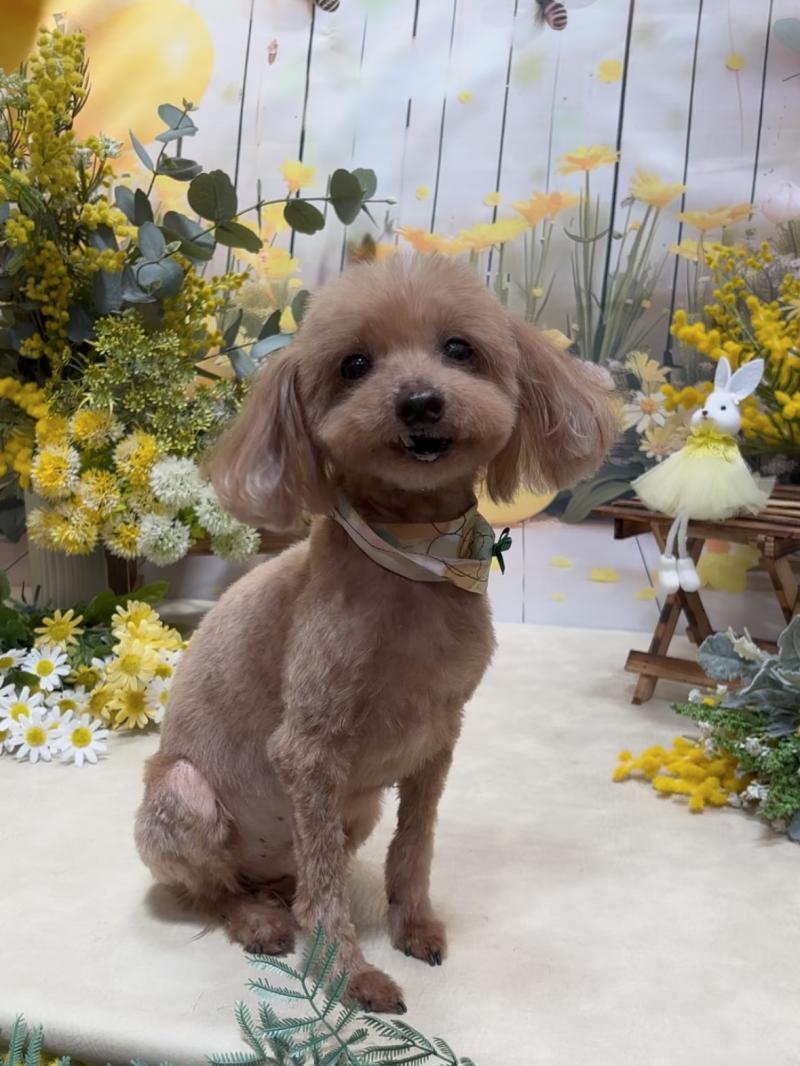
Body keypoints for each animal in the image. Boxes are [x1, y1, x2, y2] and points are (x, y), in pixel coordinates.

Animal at [134, 255, 615, 1012]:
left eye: (459, 348)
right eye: (354, 364)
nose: (419, 402)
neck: (416, 555)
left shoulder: (438, 738)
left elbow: (413, 848)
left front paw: (413, 925)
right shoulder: (308, 751)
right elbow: (328, 895)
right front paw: (350, 974)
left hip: (350, 811)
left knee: (293, 877)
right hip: (184, 796)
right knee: (215, 890)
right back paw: (255, 919)